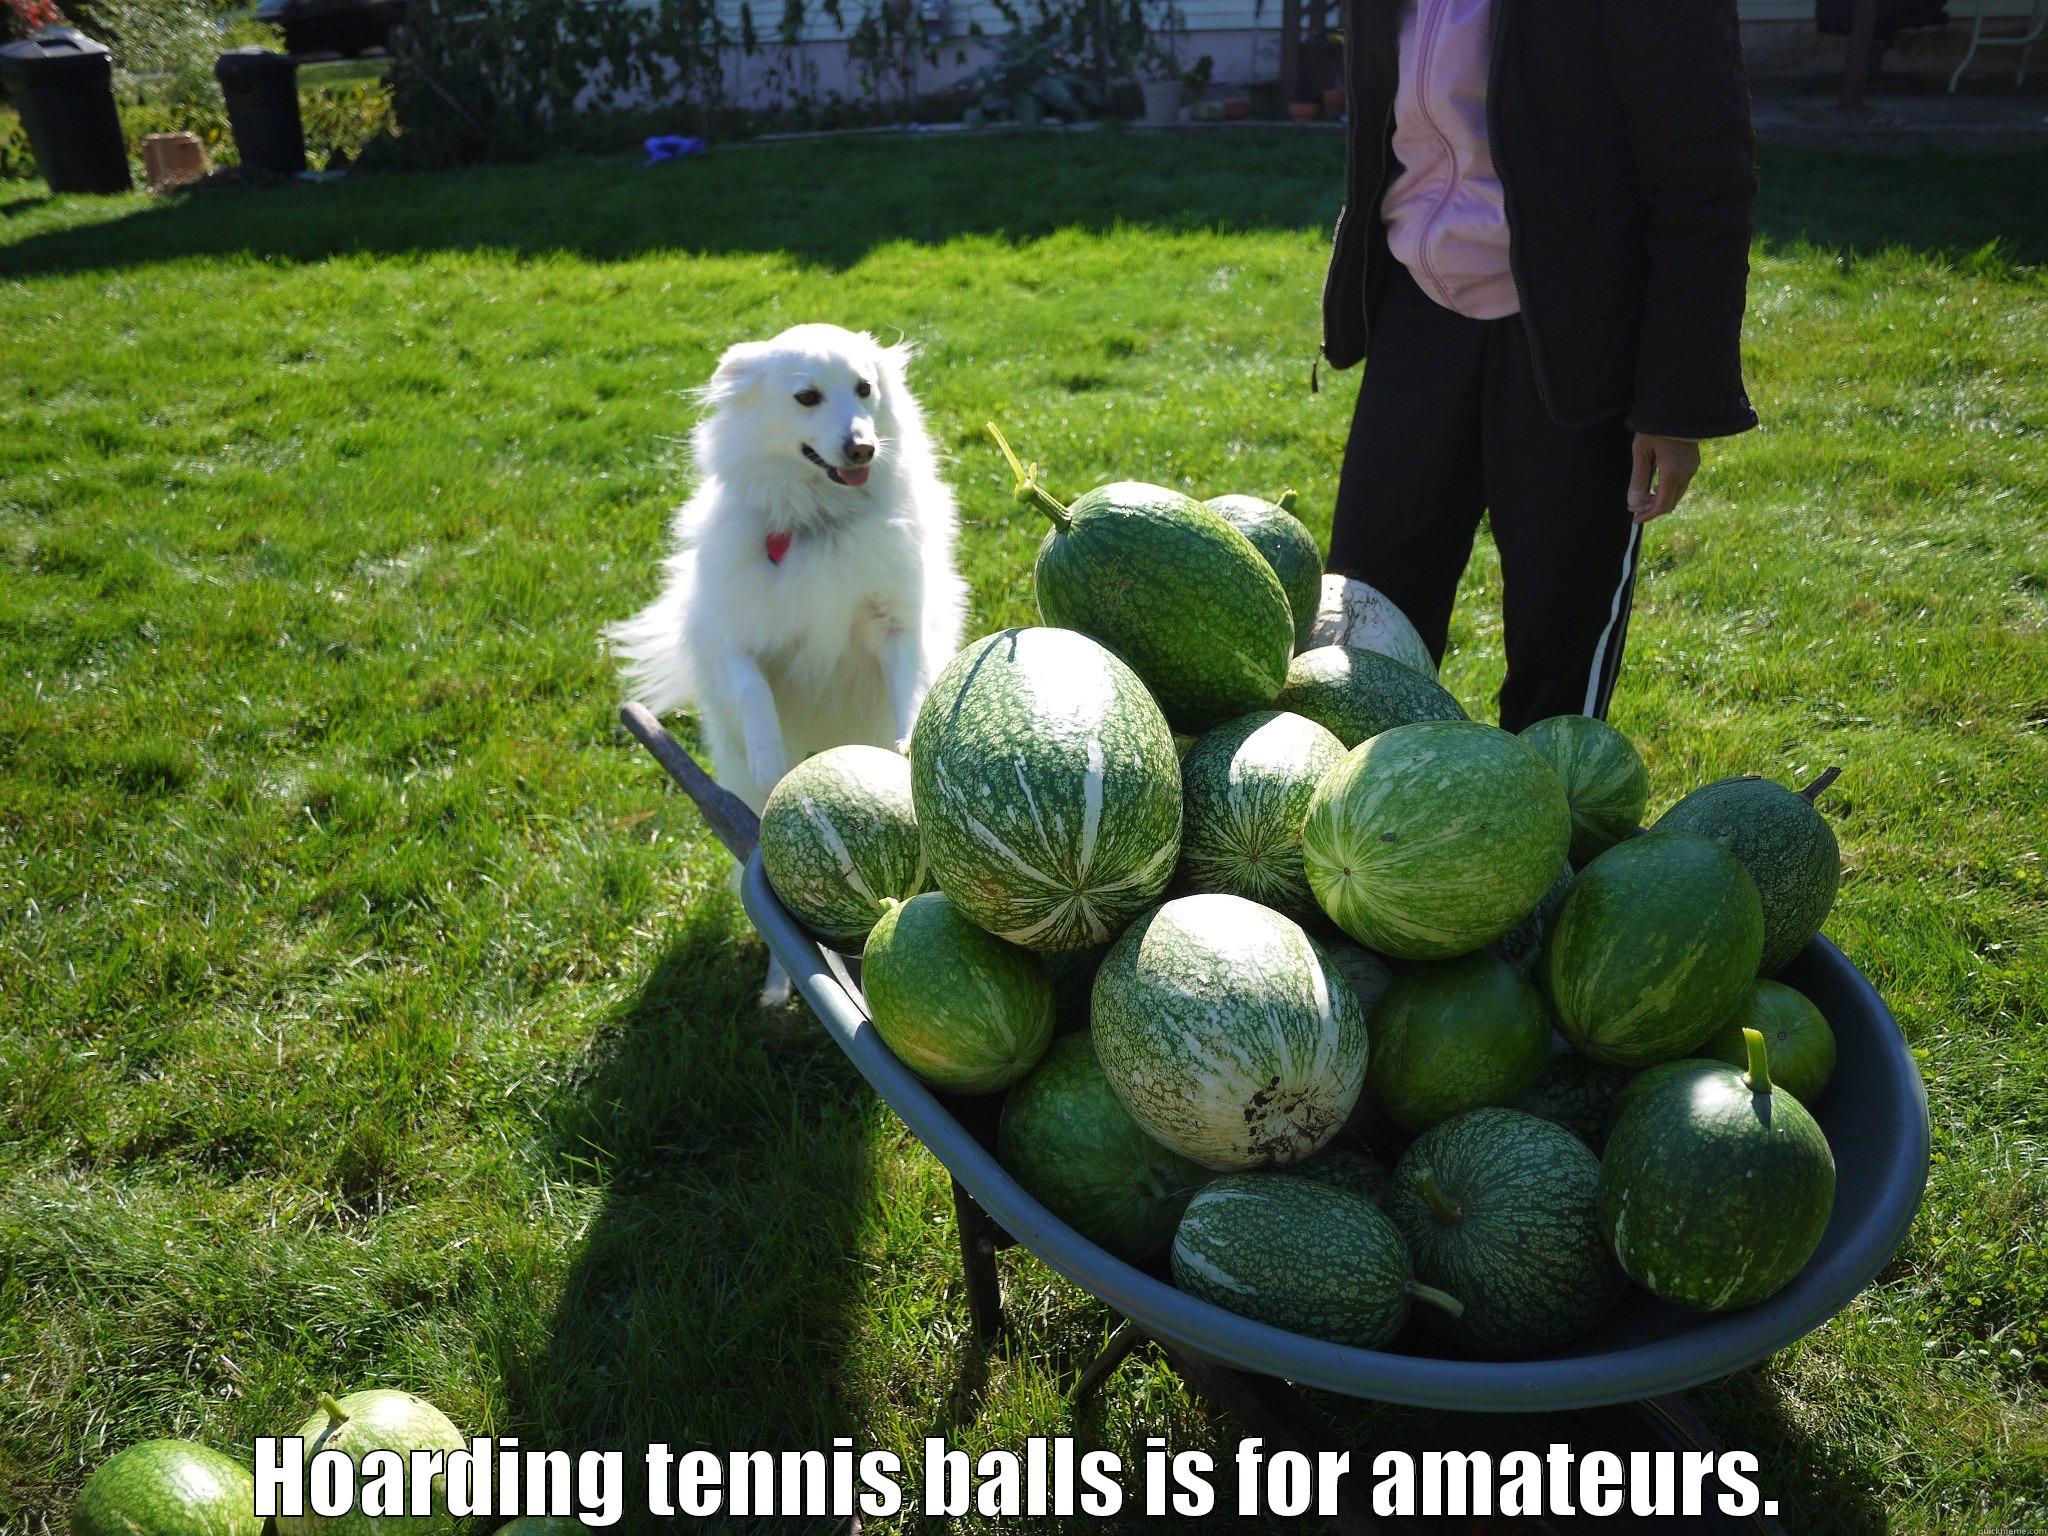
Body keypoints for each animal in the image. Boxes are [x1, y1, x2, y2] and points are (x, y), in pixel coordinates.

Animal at [606, 319, 966, 1003]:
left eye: (864, 389)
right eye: (806, 398)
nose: (862, 448)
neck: (818, 520)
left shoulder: (897, 627)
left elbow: (909, 689)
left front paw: (909, 746)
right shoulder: (736, 646)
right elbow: (754, 695)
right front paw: (772, 758)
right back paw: (780, 984)